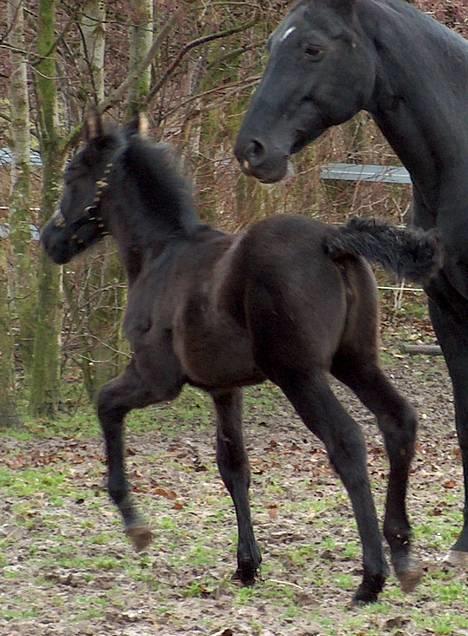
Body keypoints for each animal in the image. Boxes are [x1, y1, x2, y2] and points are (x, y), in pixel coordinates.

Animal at [40, 114, 438, 608]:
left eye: (72, 174)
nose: (49, 240)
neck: (160, 253)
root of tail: (332, 240)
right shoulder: (224, 389)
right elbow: (234, 467)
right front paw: (247, 565)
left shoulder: (155, 378)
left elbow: (106, 404)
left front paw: (135, 525)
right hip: (357, 362)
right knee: (398, 421)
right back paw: (403, 558)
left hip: (301, 376)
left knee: (346, 442)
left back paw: (371, 578)